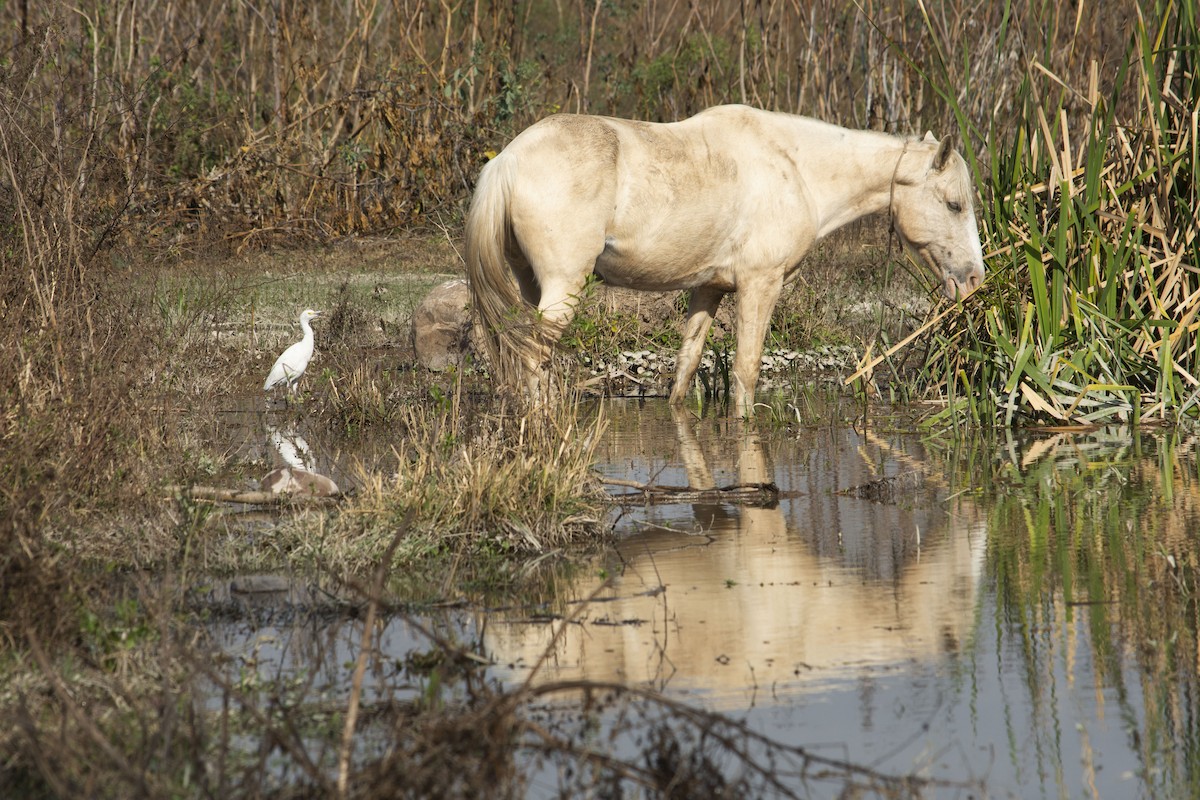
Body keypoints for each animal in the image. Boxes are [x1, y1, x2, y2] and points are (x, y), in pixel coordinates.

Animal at [463, 103, 979, 417]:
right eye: (954, 204)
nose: (973, 280)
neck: (795, 168)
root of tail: (507, 160)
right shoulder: (760, 285)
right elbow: (746, 371)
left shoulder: (708, 288)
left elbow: (686, 365)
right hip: (563, 286)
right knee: (532, 356)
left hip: (530, 284)